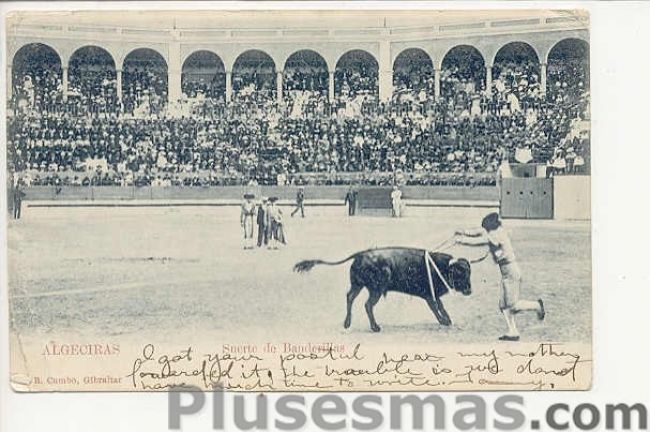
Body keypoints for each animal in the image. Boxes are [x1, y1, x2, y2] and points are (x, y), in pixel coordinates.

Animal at [294, 248, 470, 332]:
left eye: (469, 272)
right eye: (460, 273)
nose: (469, 291)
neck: (441, 266)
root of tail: (360, 255)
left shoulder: (432, 295)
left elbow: (440, 306)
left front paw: (447, 320)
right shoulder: (429, 295)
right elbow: (436, 307)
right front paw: (445, 321)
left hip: (358, 286)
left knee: (350, 297)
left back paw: (347, 323)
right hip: (376, 290)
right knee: (367, 305)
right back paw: (375, 327)